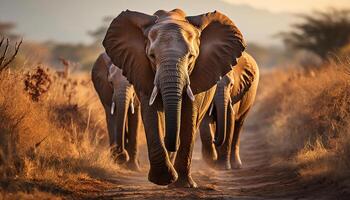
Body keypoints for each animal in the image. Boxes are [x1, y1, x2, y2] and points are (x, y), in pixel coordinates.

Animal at [102, 9, 246, 188]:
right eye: (152, 56)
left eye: (191, 56)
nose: (121, 155)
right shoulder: (142, 71)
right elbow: (151, 115)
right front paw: (163, 180)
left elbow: (189, 117)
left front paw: (184, 185)